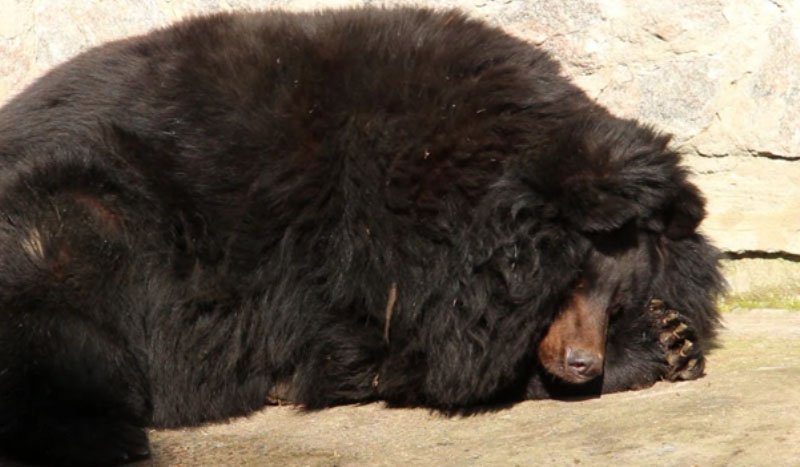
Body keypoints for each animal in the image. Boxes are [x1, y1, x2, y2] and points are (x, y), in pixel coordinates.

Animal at [0, 7, 724, 467]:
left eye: (616, 298)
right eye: (564, 286)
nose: (583, 363)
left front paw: (674, 334)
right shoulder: (372, 250)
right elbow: (420, 359)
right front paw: (659, 345)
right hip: (82, 216)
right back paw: (108, 437)